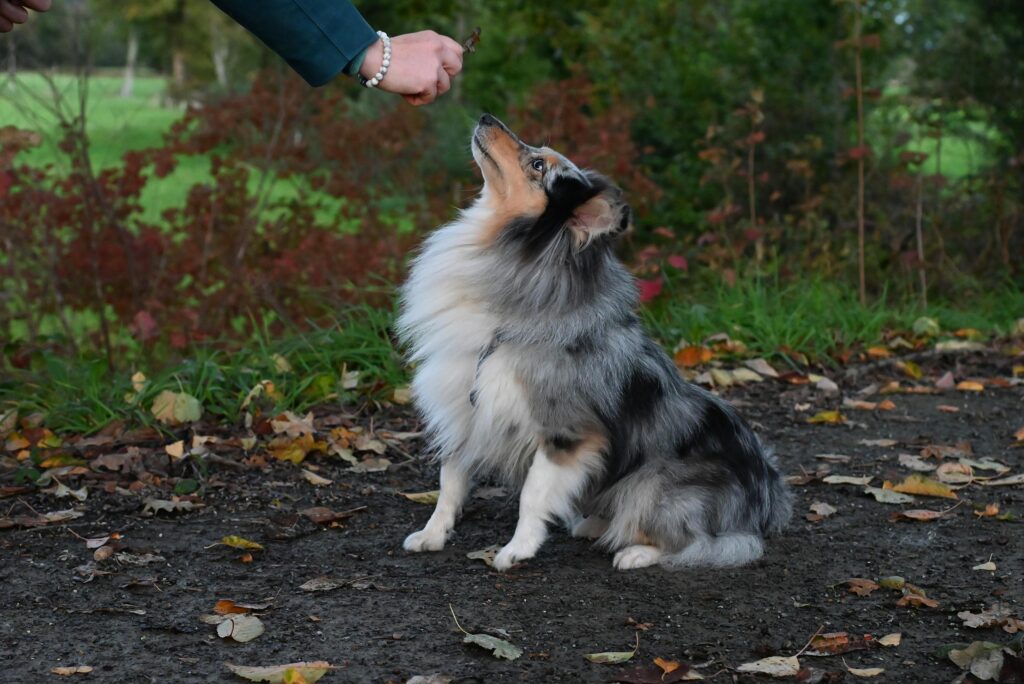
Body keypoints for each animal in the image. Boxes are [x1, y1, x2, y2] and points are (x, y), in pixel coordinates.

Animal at [395, 116, 786, 573]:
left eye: (538, 166)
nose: (487, 118)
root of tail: (767, 502)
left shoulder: (566, 432)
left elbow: (533, 494)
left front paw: (517, 549)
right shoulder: (463, 408)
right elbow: (450, 481)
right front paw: (433, 534)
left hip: (655, 482)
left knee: (706, 542)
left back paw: (635, 551)